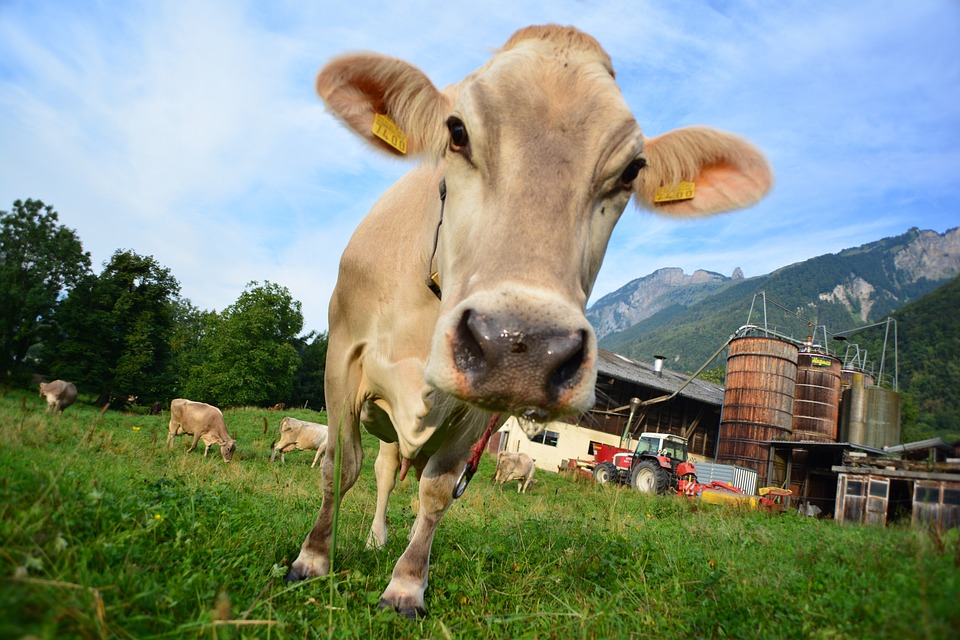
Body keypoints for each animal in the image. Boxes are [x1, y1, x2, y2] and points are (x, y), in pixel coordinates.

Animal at [284, 25, 772, 620]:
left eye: (631, 169)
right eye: (456, 131)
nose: (523, 345)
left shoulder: (474, 408)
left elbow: (437, 492)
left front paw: (406, 586)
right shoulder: (341, 356)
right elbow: (340, 465)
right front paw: (312, 559)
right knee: (378, 467)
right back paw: (374, 537)